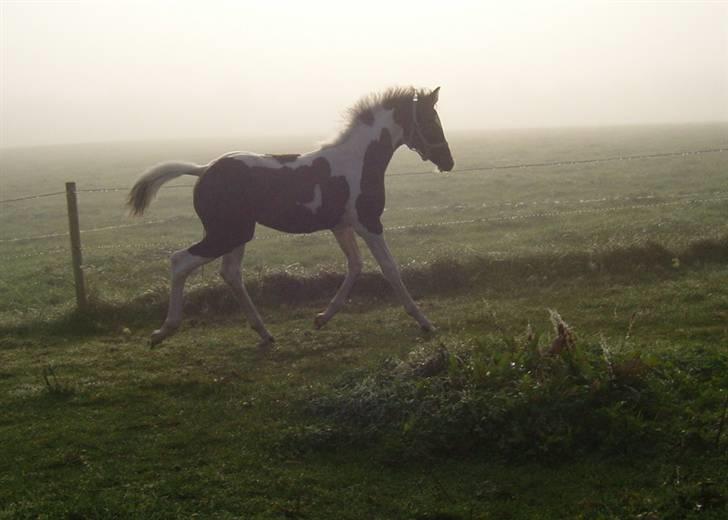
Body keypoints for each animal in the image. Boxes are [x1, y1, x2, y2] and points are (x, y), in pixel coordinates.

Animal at [128, 86, 452, 350]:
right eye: (431, 121)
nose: (448, 162)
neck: (357, 161)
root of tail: (204, 169)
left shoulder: (341, 226)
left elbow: (355, 266)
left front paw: (322, 318)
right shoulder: (368, 224)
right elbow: (390, 268)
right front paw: (425, 322)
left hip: (238, 233)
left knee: (230, 273)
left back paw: (264, 332)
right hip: (226, 233)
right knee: (180, 261)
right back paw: (163, 331)